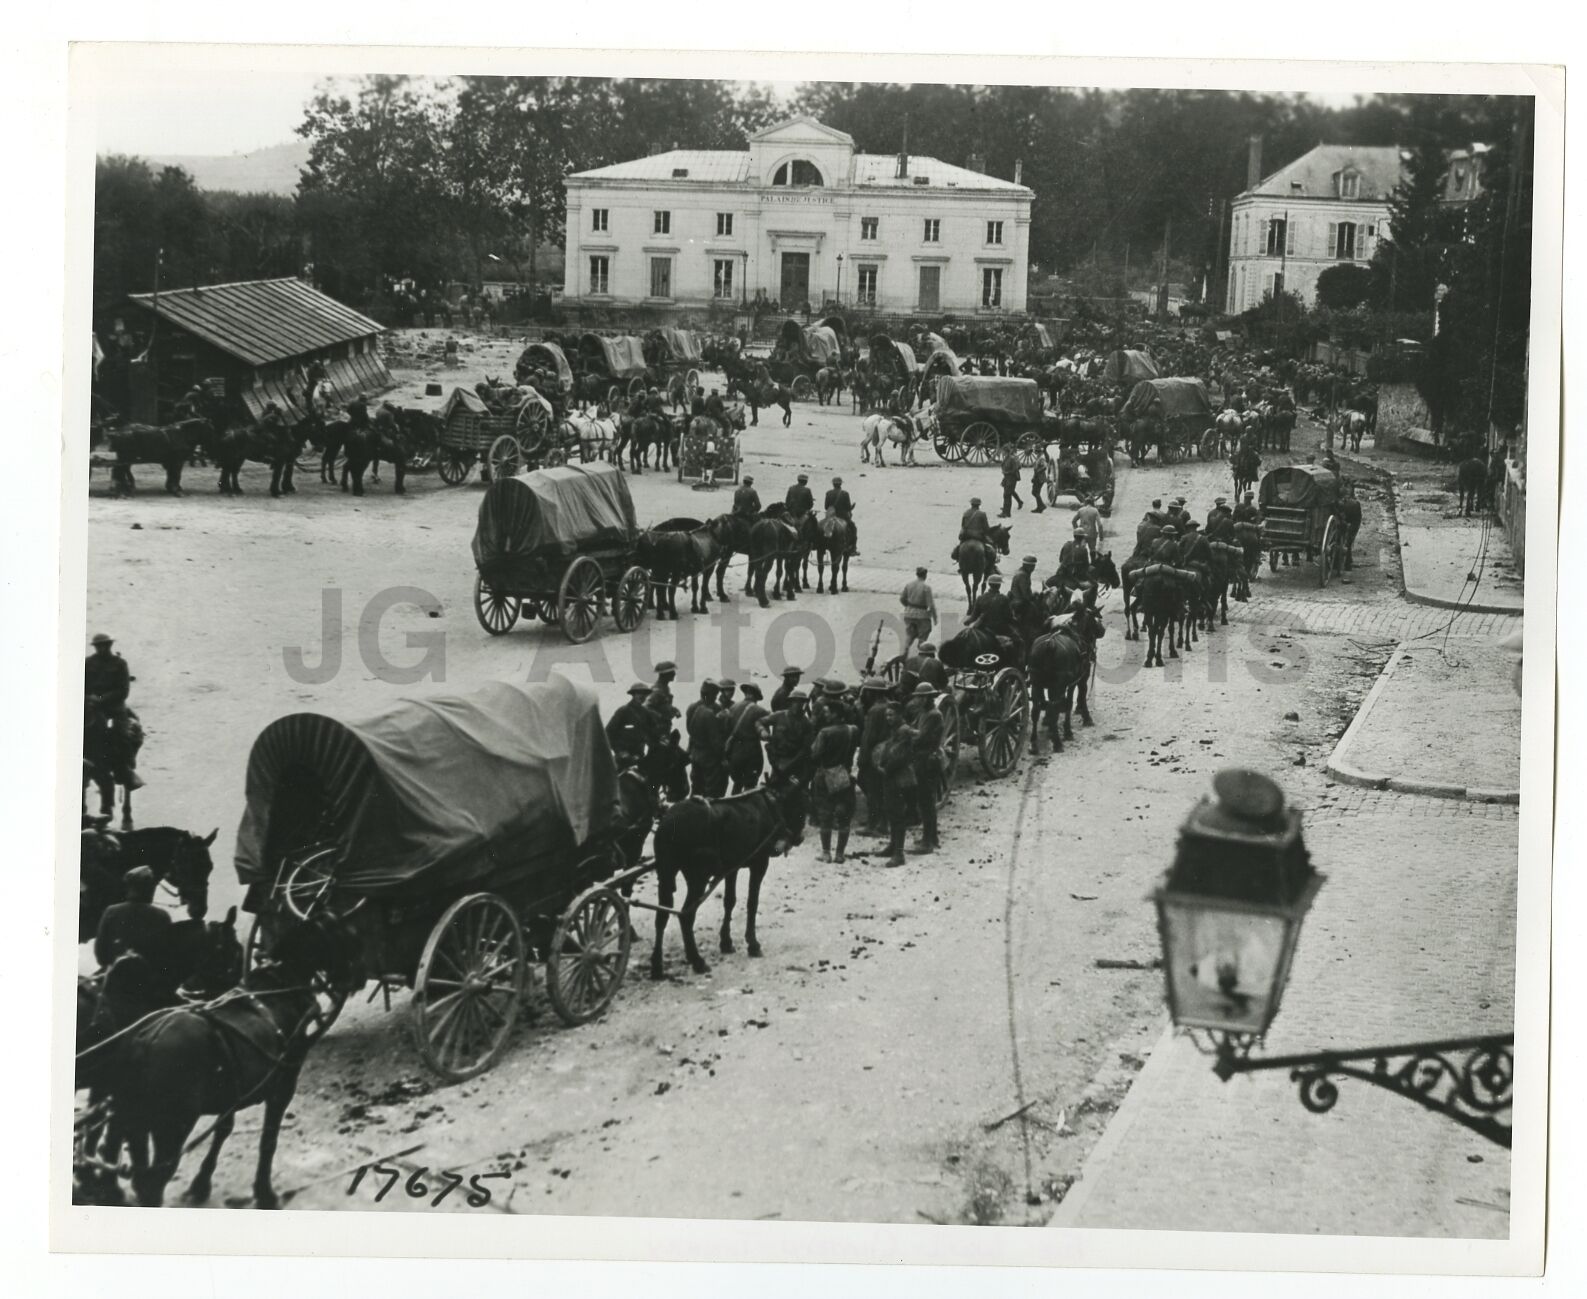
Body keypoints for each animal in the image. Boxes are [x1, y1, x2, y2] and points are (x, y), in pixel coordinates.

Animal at [650, 777, 812, 983]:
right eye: (803, 804)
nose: (799, 838)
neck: (771, 804)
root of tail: (669, 823)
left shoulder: (731, 868)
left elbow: (729, 901)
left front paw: (726, 942)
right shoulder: (759, 863)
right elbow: (752, 902)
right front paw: (752, 943)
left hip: (665, 873)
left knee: (661, 915)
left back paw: (657, 966)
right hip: (698, 877)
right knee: (686, 915)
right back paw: (696, 960)